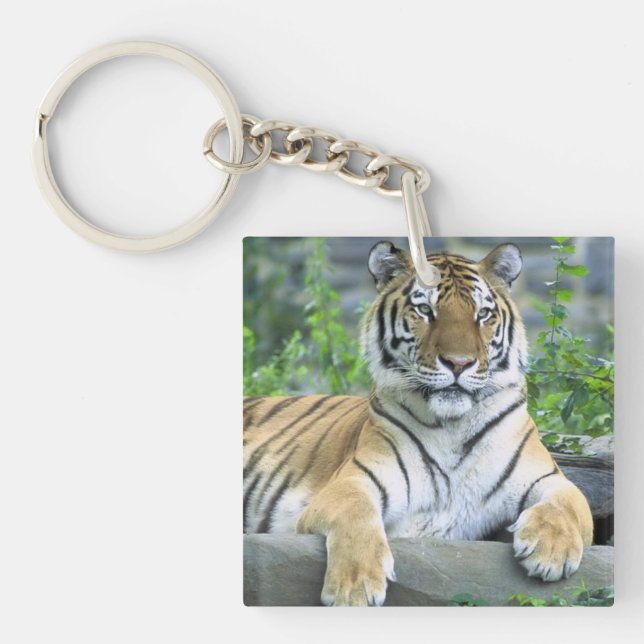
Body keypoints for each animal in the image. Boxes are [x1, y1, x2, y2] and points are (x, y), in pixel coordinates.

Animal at [243, 241, 593, 606]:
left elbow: (569, 503)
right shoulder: (352, 482)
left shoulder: (547, 477)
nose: (459, 363)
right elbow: (356, 514)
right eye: (425, 310)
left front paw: (551, 552)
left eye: (483, 314)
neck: (453, 426)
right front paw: (354, 589)